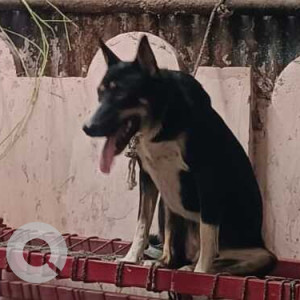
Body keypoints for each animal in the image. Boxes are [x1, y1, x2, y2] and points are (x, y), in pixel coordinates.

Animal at [82, 36, 276, 276]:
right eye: (100, 94)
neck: (161, 121)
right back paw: (167, 262)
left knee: (226, 257)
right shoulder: (148, 176)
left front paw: (201, 272)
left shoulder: (207, 177)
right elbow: (142, 223)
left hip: (257, 253)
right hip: (168, 204)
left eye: (121, 96)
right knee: (173, 245)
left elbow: (207, 232)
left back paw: (201, 267)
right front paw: (131, 257)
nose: (87, 128)